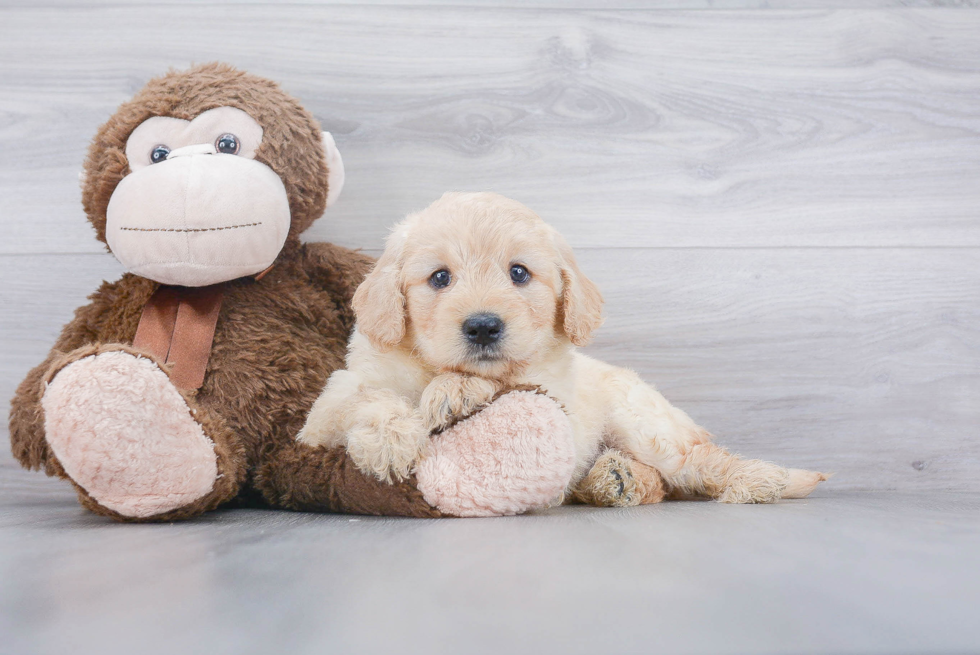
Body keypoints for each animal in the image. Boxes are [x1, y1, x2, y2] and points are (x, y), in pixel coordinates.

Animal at [298, 192, 828, 504]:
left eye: (518, 273)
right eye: (440, 278)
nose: (484, 327)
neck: (431, 366)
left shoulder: (556, 404)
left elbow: (506, 382)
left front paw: (457, 391)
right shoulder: (326, 409)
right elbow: (366, 398)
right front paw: (389, 442)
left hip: (644, 425)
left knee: (695, 464)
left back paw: (760, 480)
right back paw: (615, 480)